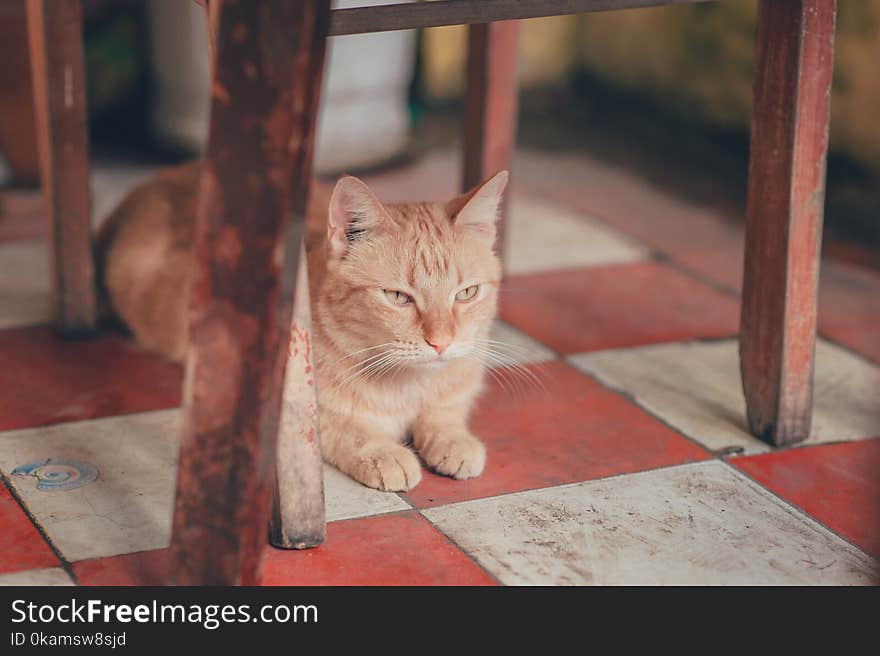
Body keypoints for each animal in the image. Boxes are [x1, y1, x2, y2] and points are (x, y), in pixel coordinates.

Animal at [98, 161, 508, 492]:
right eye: (397, 297)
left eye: (467, 293)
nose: (441, 343)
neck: (405, 386)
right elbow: (345, 429)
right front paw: (383, 453)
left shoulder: (459, 382)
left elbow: (444, 411)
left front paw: (454, 439)